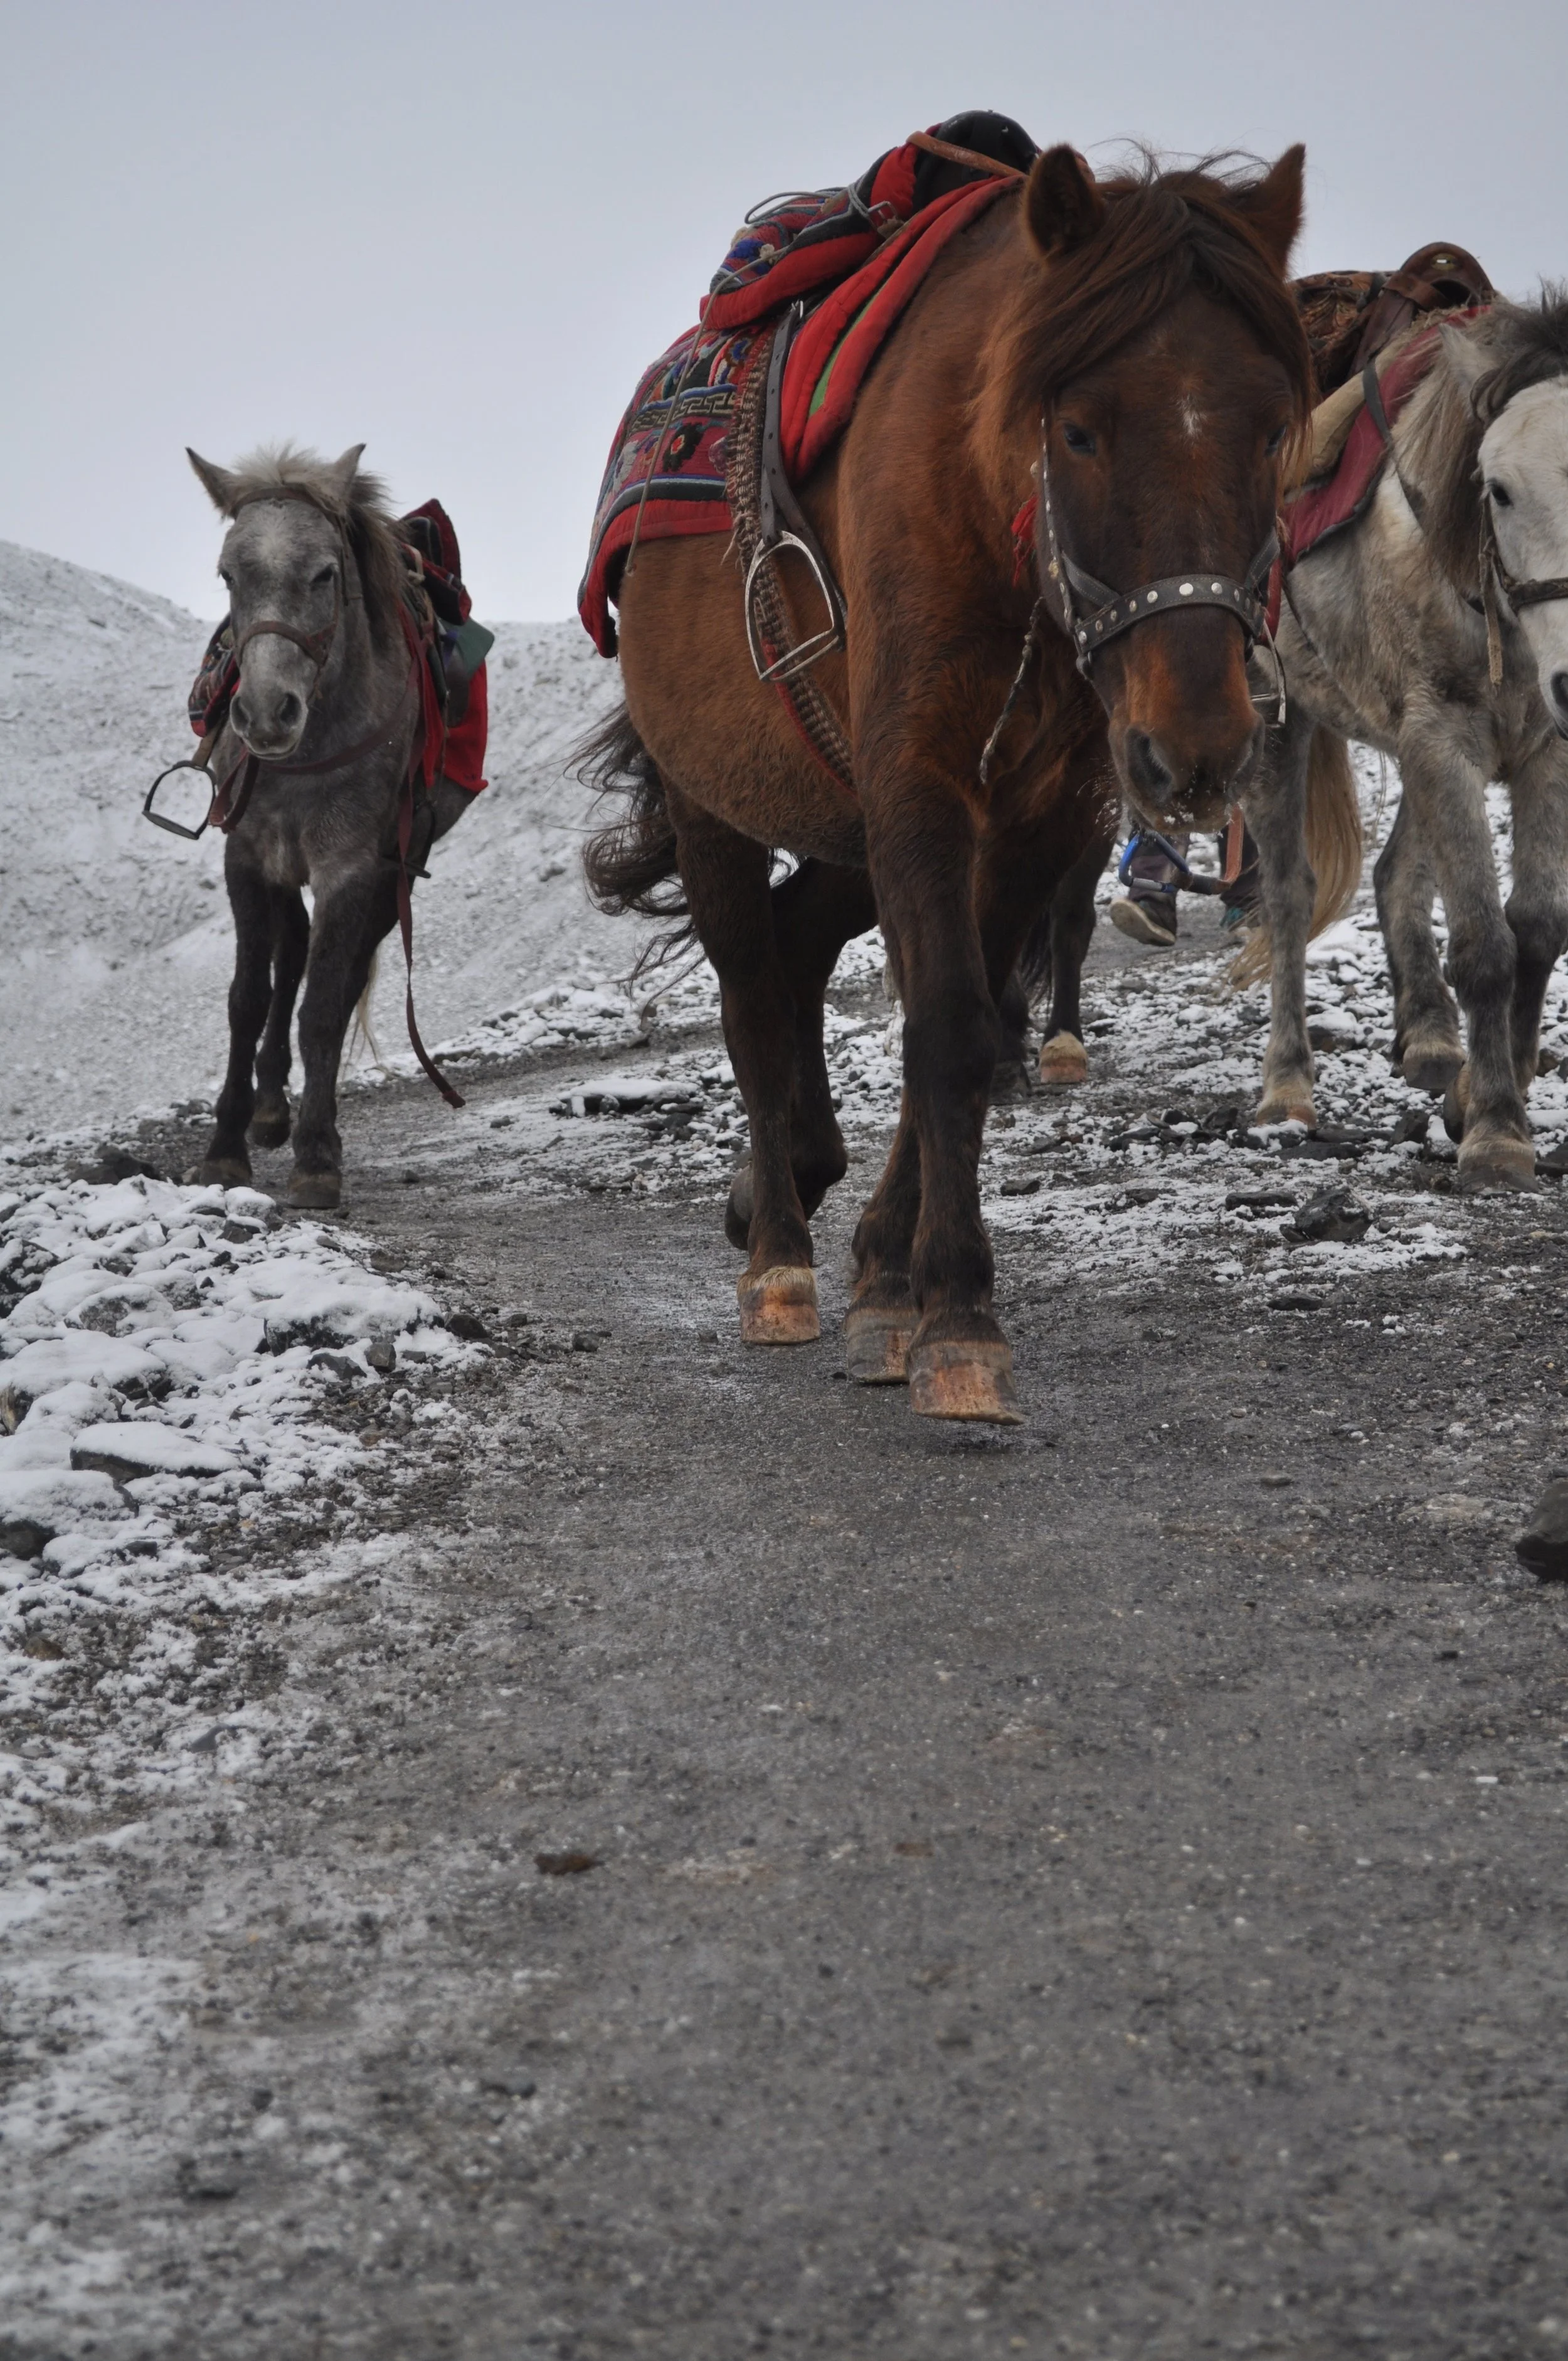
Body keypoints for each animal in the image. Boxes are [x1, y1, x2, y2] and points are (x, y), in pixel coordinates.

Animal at [182, 445, 474, 1209]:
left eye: (325, 573)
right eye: (228, 575)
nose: (265, 714)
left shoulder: (352, 867)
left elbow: (321, 1007)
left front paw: (317, 1156)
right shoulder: (248, 857)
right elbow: (249, 999)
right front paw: (225, 1148)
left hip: (392, 875)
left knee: (331, 986)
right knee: (290, 955)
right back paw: (266, 1109)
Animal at [584, 145, 1315, 1423]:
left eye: (1274, 429)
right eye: (1077, 429)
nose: (1197, 744)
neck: (988, 510)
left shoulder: (1040, 815)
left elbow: (966, 1022)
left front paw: (890, 1278)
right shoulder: (921, 783)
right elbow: (952, 1029)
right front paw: (959, 1317)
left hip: (841, 815)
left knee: (797, 944)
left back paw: (792, 1182)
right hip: (714, 799)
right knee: (747, 988)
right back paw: (777, 1254)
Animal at [1246, 293, 1568, 1186]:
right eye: (1497, 489)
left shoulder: (1544, 751)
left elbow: (1538, 927)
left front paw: (1478, 1093)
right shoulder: (1440, 744)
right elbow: (1486, 942)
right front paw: (1496, 1128)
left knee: (1394, 874)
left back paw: (1428, 1037)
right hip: (1278, 726)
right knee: (1287, 898)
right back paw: (1286, 1086)